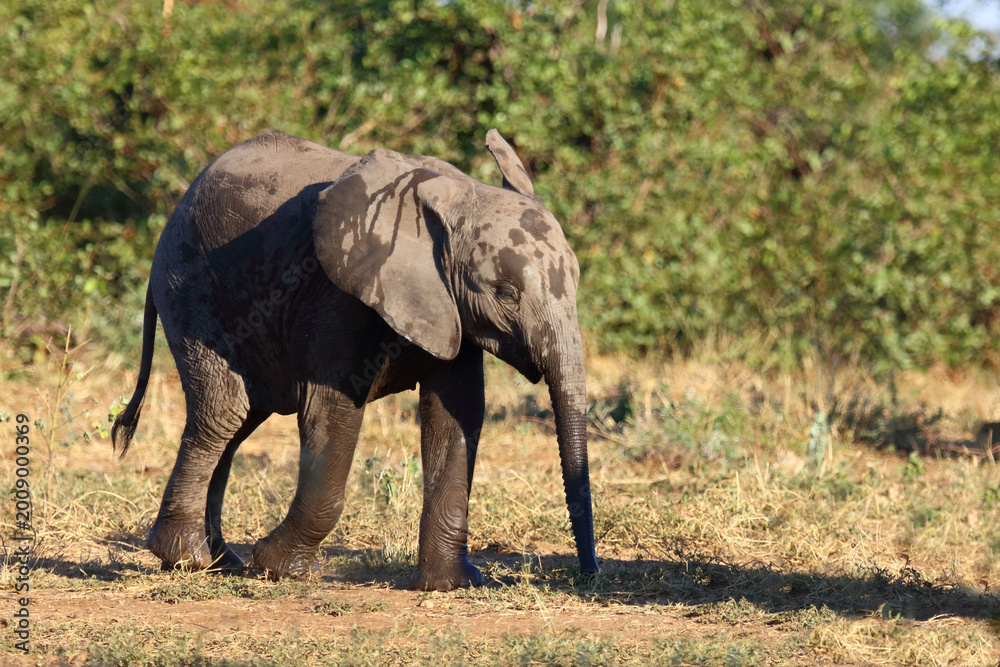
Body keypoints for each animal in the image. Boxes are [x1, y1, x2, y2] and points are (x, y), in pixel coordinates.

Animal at [111, 129, 598, 591]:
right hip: (191, 290)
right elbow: (332, 407)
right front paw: (281, 569)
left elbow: (457, 413)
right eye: (506, 293)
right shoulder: (335, 292)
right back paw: (187, 559)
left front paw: (448, 585)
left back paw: (220, 561)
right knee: (224, 412)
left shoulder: (451, 307)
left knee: (239, 422)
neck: (459, 195)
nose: (588, 575)